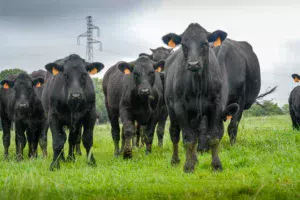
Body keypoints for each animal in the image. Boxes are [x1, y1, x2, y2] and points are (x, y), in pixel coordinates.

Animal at [162, 23, 239, 173]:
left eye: (205, 43)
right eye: (184, 45)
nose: (193, 64)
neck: (198, 85)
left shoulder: (216, 106)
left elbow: (213, 137)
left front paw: (216, 165)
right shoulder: (180, 108)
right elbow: (188, 139)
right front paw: (188, 166)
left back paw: (195, 160)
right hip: (171, 109)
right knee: (175, 133)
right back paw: (176, 160)